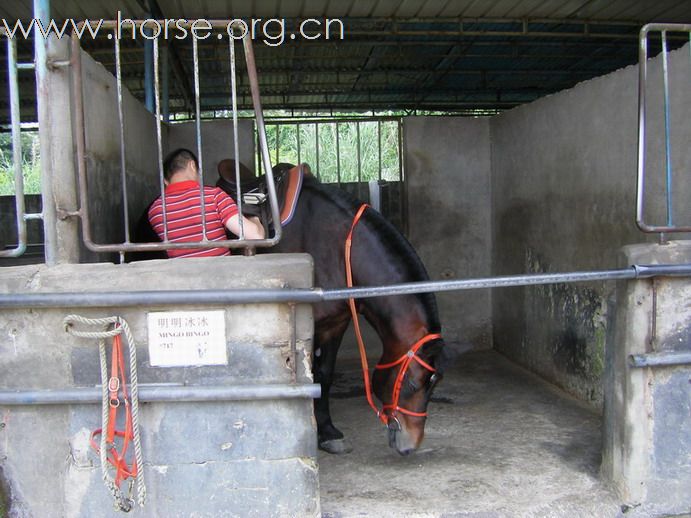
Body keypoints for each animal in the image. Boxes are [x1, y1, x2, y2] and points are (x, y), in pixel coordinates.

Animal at [132, 166, 446, 456]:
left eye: (434, 384)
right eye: (414, 383)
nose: (410, 445)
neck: (336, 246)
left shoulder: (337, 324)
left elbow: (325, 375)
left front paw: (328, 432)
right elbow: (311, 375)